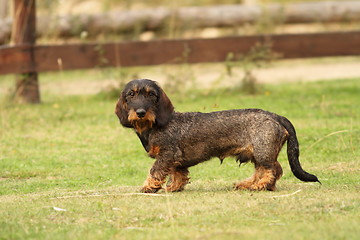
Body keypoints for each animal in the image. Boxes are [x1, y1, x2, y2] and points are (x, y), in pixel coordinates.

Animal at [114, 79, 320, 193]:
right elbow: (178, 174)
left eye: (151, 95)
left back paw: (259, 186)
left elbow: (155, 171)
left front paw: (148, 187)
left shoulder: (167, 155)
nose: (141, 112)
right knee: (263, 170)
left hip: (263, 152)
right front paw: (174, 187)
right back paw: (249, 184)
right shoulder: (175, 160)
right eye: (131, 94)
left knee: (273, 170)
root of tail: (275, 115)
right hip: (257, 154)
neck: (154, 125)